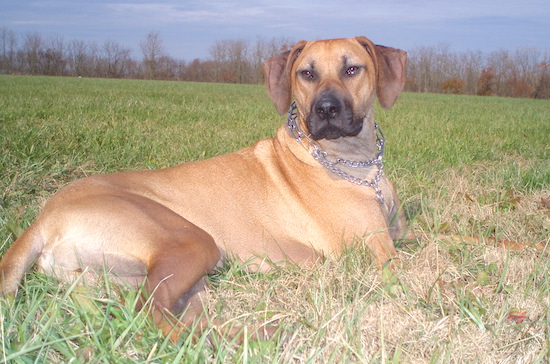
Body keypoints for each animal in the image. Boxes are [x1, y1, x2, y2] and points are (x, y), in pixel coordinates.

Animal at [0, 36, 412, 342]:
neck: (358, 167)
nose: (326, 109)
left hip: (149, 279)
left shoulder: (395, 234)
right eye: (306, 73)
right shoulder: (377, 251)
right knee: (150, 316)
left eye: (352, 69)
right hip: (191, 240)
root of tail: (44, 217)